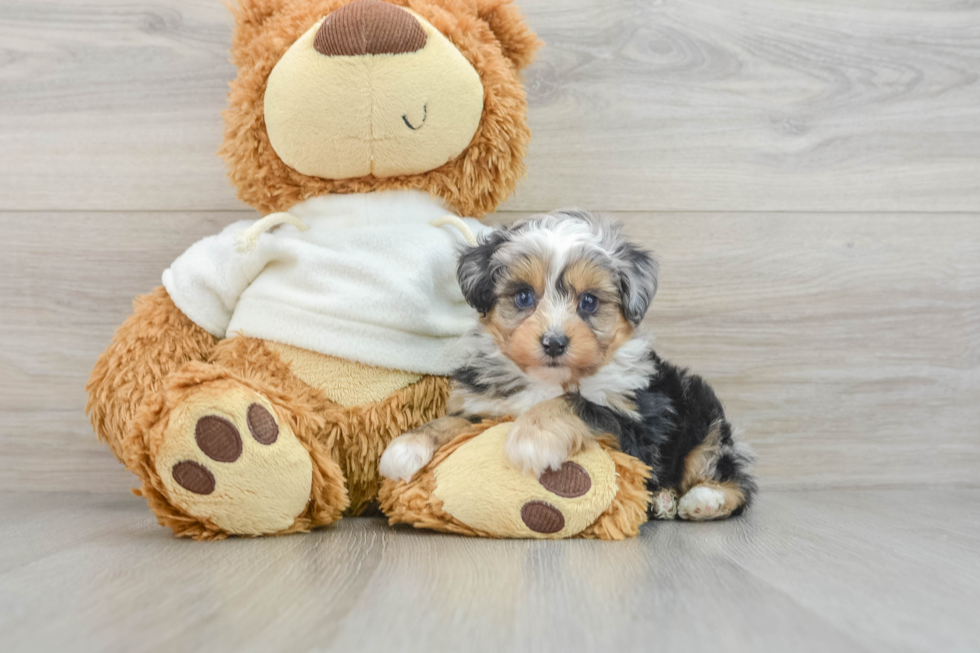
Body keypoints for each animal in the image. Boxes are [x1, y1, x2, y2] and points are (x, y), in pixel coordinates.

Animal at [378, 209, 756, 520]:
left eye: (589, 302)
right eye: (523, 297)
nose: (554, 342)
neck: (549, 379)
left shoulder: (636, 421)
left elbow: (577, 402)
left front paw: (531, 438)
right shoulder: (484, 406)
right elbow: (450, 422)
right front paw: (405, 446)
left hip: (702, 415)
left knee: (732, 477)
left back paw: (703, 500)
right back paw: (663, 500)